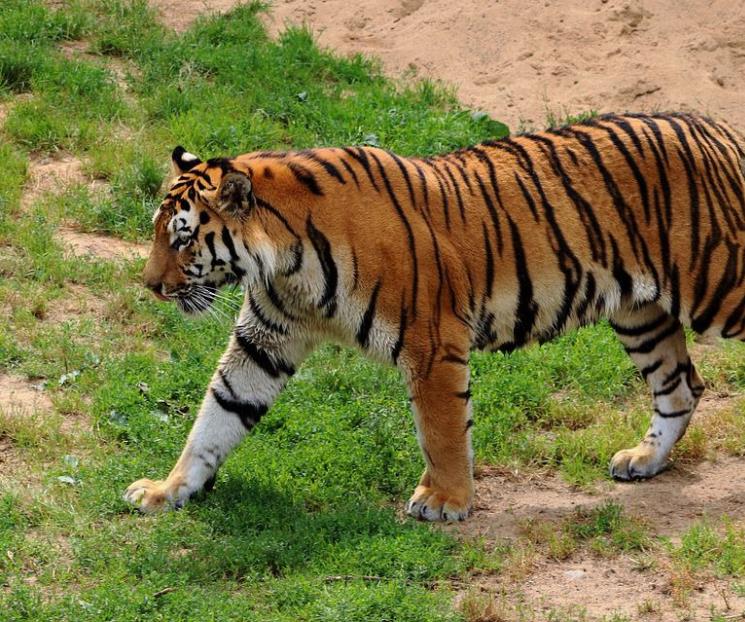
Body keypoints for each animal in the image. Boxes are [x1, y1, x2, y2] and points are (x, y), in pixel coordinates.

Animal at [124, 112, 745, 522]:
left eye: (182, 238)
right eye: (159, 232)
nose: (152, 285)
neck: (286, 263)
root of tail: (722, 128)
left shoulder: (432, 343)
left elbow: (442, 430)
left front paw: (445, 501)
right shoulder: (265, 341)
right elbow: (216, 416)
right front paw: (168, 489)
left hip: (720, 288)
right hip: (641, 312)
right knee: (680, 387)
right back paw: (643, 459)